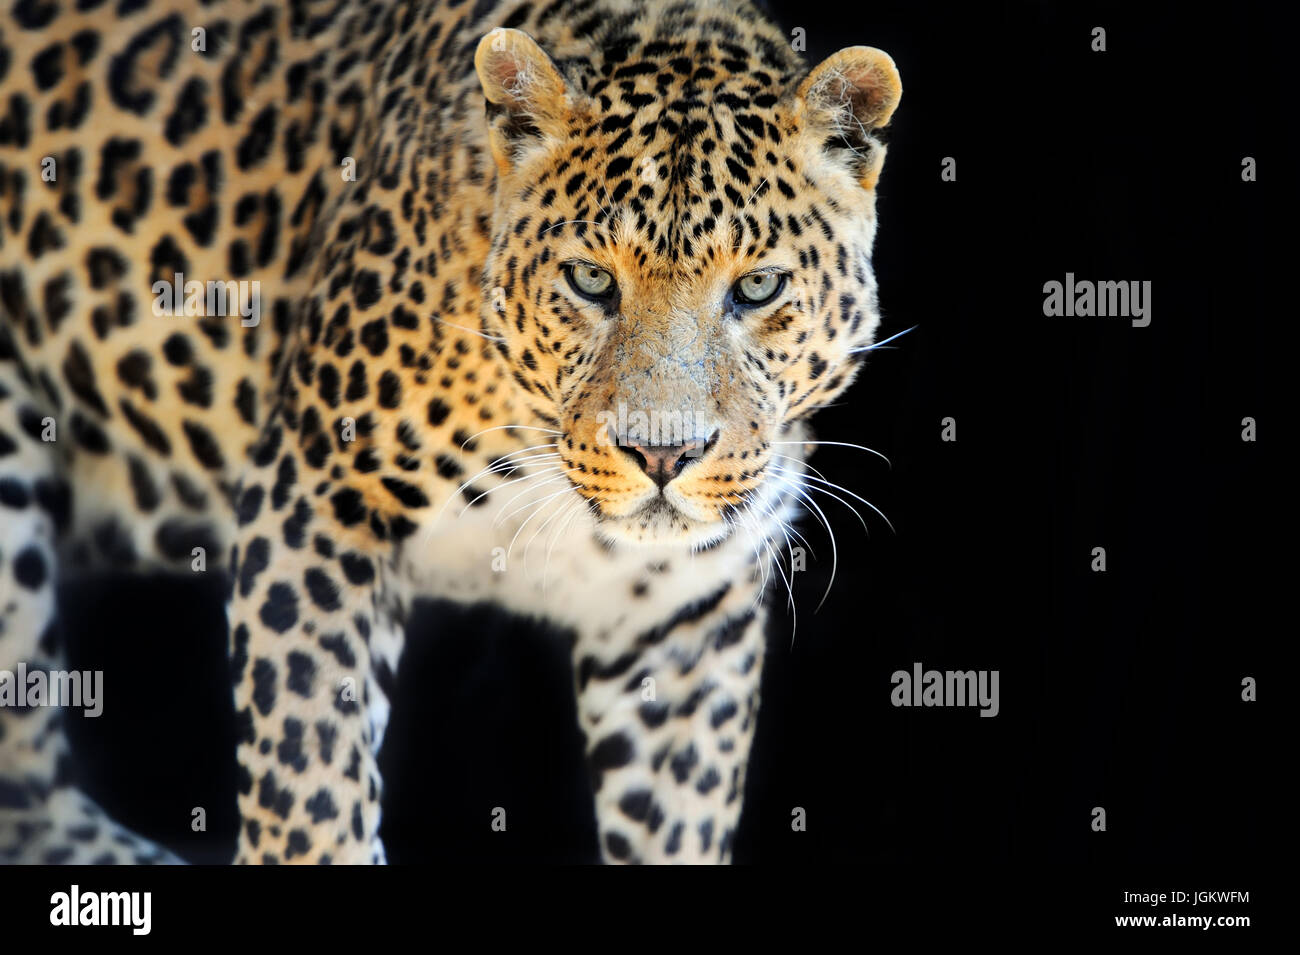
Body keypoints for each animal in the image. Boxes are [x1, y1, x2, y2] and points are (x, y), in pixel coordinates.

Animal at [0, 0, 901, 864]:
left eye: (758, 286)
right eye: (590, 279)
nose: (661, 453)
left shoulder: (686, 614)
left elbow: (678, 823)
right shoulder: (316, 501)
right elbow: (310, 794)